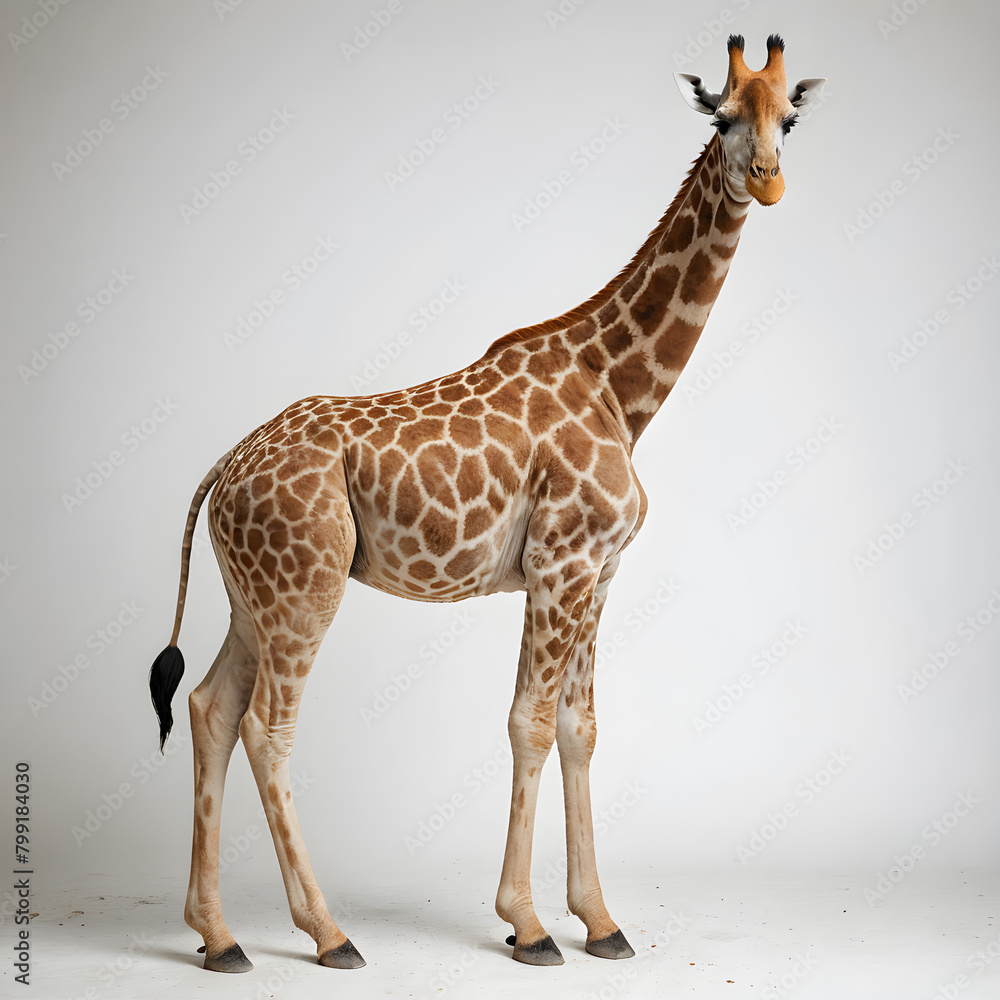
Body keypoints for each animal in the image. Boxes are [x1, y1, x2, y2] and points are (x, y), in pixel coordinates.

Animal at [148, 35, 824, 972]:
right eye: (722, 116)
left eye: (788, 119)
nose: (766, 179)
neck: (622, 390)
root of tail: (222, 466)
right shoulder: (560, 561)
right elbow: (529, 724)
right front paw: (529, 925)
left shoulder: (598, 573)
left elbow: (580, 727)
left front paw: (601, 922)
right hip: (304, 587)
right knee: (267, 728)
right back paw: (328, 933)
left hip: (255, 592)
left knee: (210, 709)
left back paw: (218, 938)